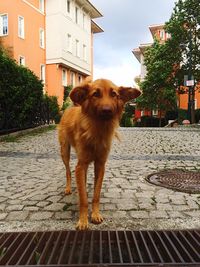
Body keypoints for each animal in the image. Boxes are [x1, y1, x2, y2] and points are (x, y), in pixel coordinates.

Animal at [58, 79, 141, 230]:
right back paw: (68, 188)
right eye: (95, 94)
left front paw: (95, 214)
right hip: (64, 151)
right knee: (68, 171)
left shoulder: (100, 165)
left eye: (114, 94)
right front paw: (83, 220)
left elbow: (96, 195)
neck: (98, 129)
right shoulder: (81, 163)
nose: (107, 110)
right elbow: (83, 199)